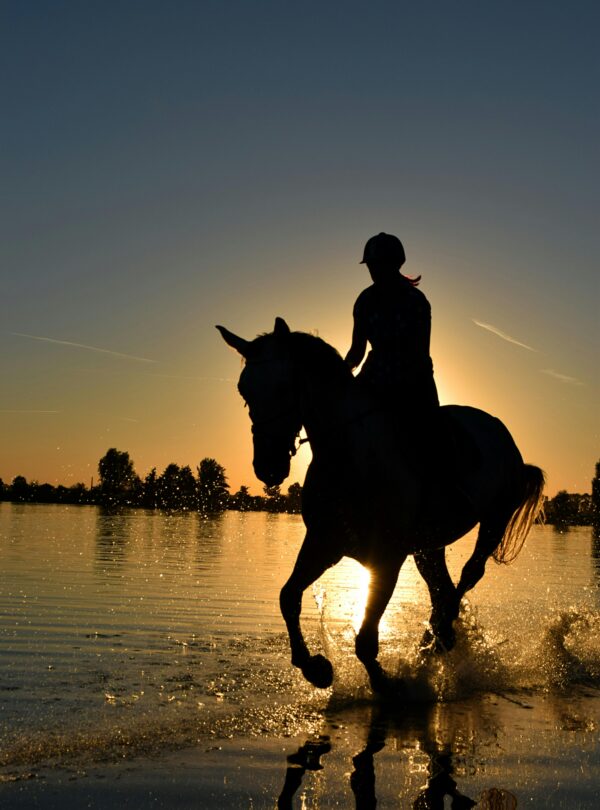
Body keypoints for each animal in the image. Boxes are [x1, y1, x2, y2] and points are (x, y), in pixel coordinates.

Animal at [218, 318, 545, 692]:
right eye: (244, 390)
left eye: (285, 387)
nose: (268, 467)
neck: (351, 457)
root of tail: (498, 430)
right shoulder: (324, 543)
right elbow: (288, 597)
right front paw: (316, 668)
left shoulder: (387, 557)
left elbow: (365, 638)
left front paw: (387, 684)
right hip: (428, 546)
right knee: (441, 588)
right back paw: (436, 640)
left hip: (494, 520)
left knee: (468, 576)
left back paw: (439, 637)